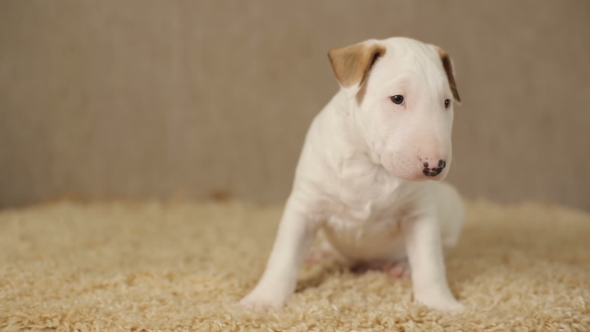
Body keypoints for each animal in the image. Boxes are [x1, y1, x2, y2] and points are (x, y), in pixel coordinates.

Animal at [240, 37, 468, 312]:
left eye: (446, 102)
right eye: (397, 98)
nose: (435, 166)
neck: (369, 164)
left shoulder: (419, 215)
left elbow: (429, 262)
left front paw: (439, 303)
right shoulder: (304, 206)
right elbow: (283, 257)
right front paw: (263, 299)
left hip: (453, 209)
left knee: (441, 249)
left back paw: (401, 267)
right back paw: (323, 254)